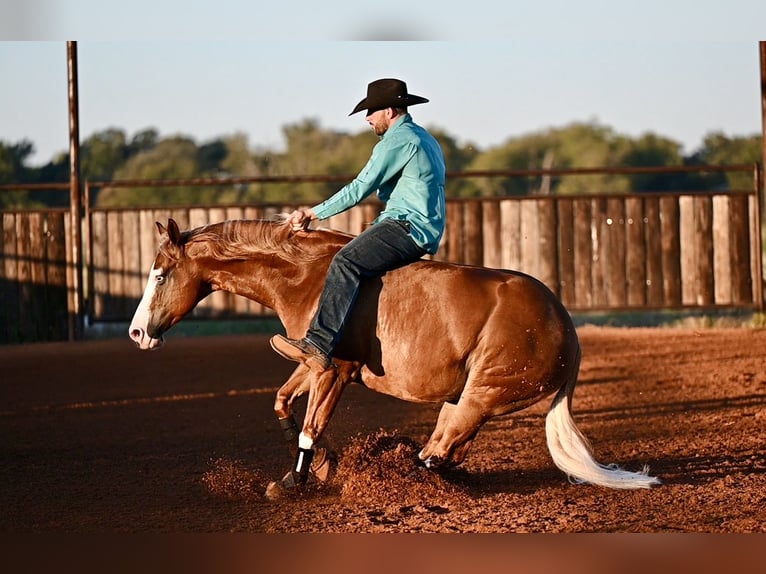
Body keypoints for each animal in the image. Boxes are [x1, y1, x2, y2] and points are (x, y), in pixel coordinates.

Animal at [128, 217, 660, 491]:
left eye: (159, 273)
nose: (136, 332)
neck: (306, 276)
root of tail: (567, 327)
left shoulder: (334, 372)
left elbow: (311, 424)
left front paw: (301, 478)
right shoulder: (311, 363)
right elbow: (283, 405)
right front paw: (321, 465)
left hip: (484, 395)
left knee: (447, 447)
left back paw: (404, 473)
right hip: (464, 396)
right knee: (445, 445)